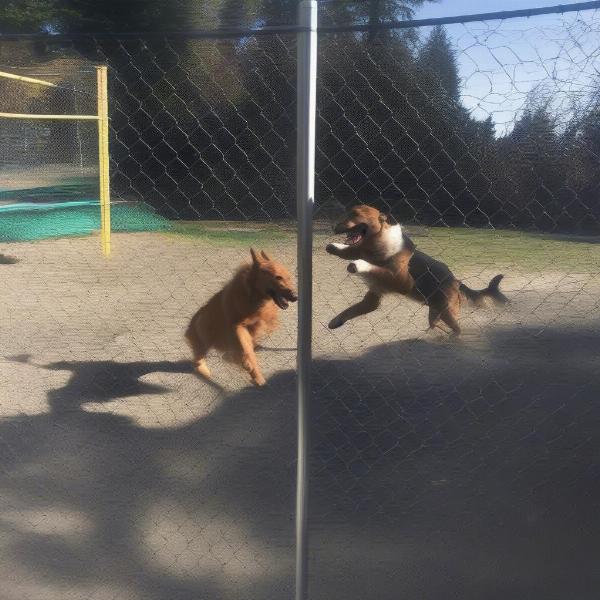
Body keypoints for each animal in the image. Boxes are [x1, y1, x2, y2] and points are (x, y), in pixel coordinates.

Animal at [183, 248, 296, 384]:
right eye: (278, 277)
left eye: (288, 277)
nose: (295, 297)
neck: (253, 297)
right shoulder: (238, 326)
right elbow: (247, 350)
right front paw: (249, 366)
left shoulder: (254, 327)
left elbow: (249, 349)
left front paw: (255, 374)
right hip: (204, 330)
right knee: (199, 353)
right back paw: (202, 369)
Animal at [326, 205, 508, 338]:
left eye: (355, 214)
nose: (334, 227)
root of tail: (456, 281)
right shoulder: (373, 297)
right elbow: (350, 310)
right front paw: (336, 321)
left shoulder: (401, 280)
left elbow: (370, 264)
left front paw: (357, 264)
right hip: (435, 312)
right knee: (436, 325)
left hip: (446, 312)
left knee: (457, 330)